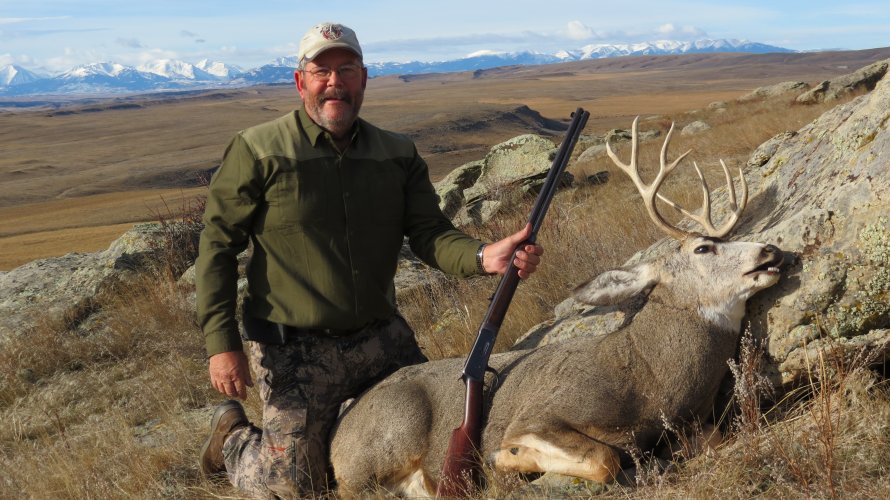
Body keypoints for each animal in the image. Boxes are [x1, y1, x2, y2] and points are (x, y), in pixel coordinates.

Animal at [328, 117, 784, 497]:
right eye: (703, 248)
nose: (770, 250)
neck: (649, 379)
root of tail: (337, 432)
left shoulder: (692, 426)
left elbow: (712, 440)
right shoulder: (542, 414)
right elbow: (604, 457)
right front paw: (507, 457)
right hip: (380, 445)